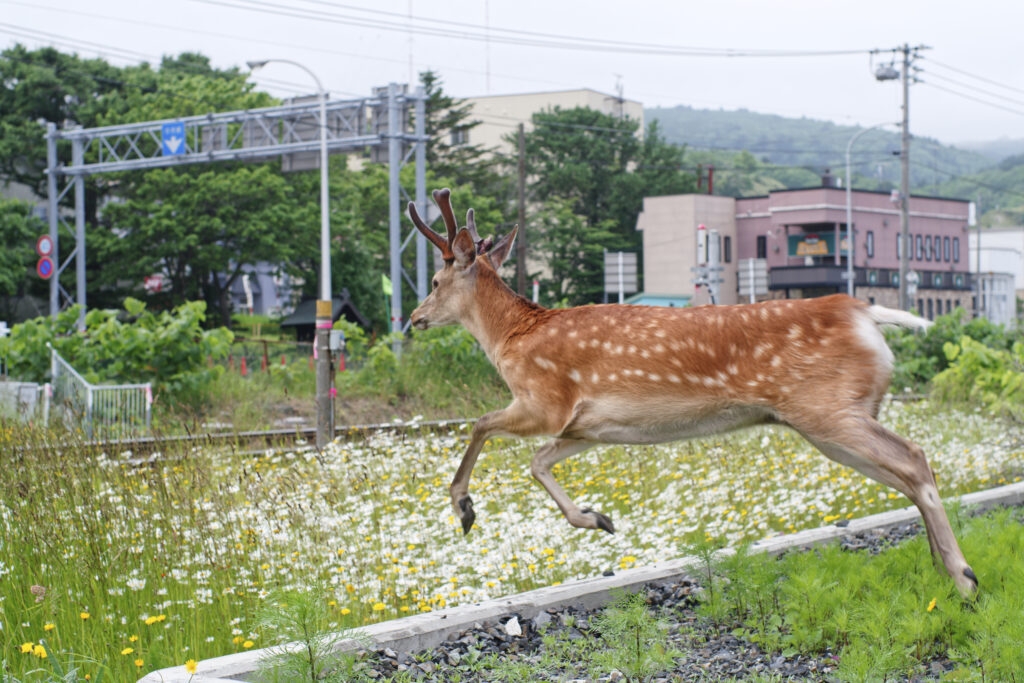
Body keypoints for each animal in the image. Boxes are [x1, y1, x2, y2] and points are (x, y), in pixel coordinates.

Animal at [407, 188, 979, 599]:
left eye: (434, 281)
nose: (413, 319)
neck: (511, 338)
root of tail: (867, 312)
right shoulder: (587, 426)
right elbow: (538, 462)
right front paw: (596, 518)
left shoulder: (545, 399)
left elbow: (481, 425)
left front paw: (463, 508)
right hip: (831, 420)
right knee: (904, 473)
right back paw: (941, 569)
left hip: (827, 409)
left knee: (914, 458)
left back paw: (963, 576)